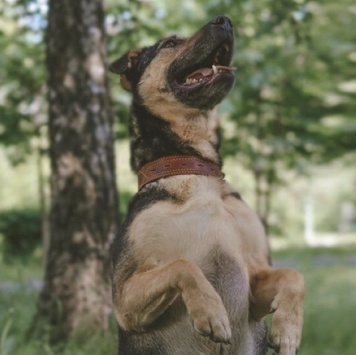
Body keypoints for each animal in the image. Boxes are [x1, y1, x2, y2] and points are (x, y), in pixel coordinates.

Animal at [109, 14, 304, 355]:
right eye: (170, 43)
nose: (225, 20)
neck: (193, 169)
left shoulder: (255, 283)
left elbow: (294, 275)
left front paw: (288, 328)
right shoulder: (125, 297)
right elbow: (183, 265)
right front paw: (212, 313)